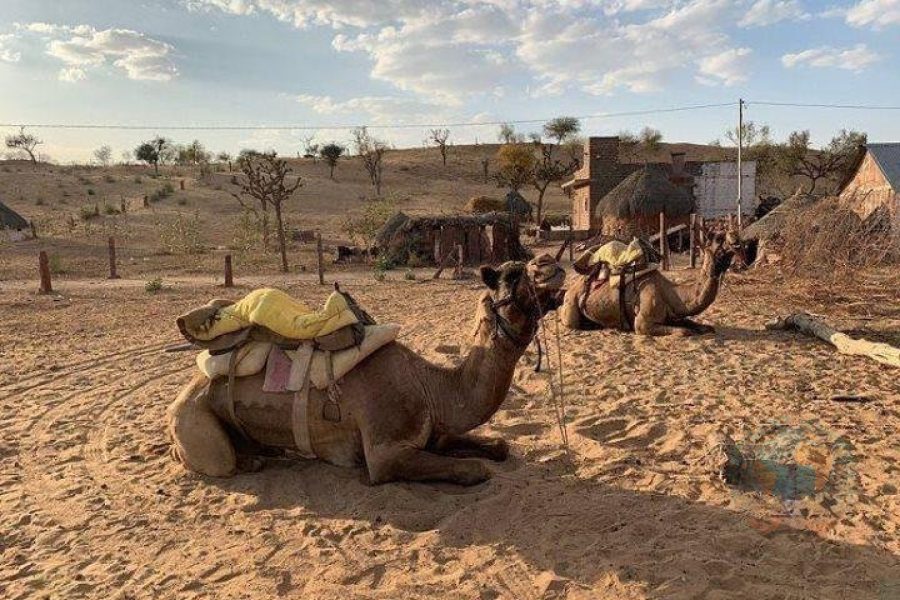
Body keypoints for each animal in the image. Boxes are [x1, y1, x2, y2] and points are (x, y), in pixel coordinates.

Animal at [168, 255, 564, 486]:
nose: (551, 264)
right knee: (214, 461)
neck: (431, 386)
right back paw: (250, 462)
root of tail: (181, 397)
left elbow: (499, 445)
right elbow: (475, 470)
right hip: (196, 424)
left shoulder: (435, 431)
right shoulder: (384, 453)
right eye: (513, 276)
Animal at [560, 227, 740, 336]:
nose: (736, 239)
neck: (670, 293)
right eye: (718, 239)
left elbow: (703, 327)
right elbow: (684, 331)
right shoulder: (642, 324)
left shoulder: (673, 316)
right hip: (571, 303)